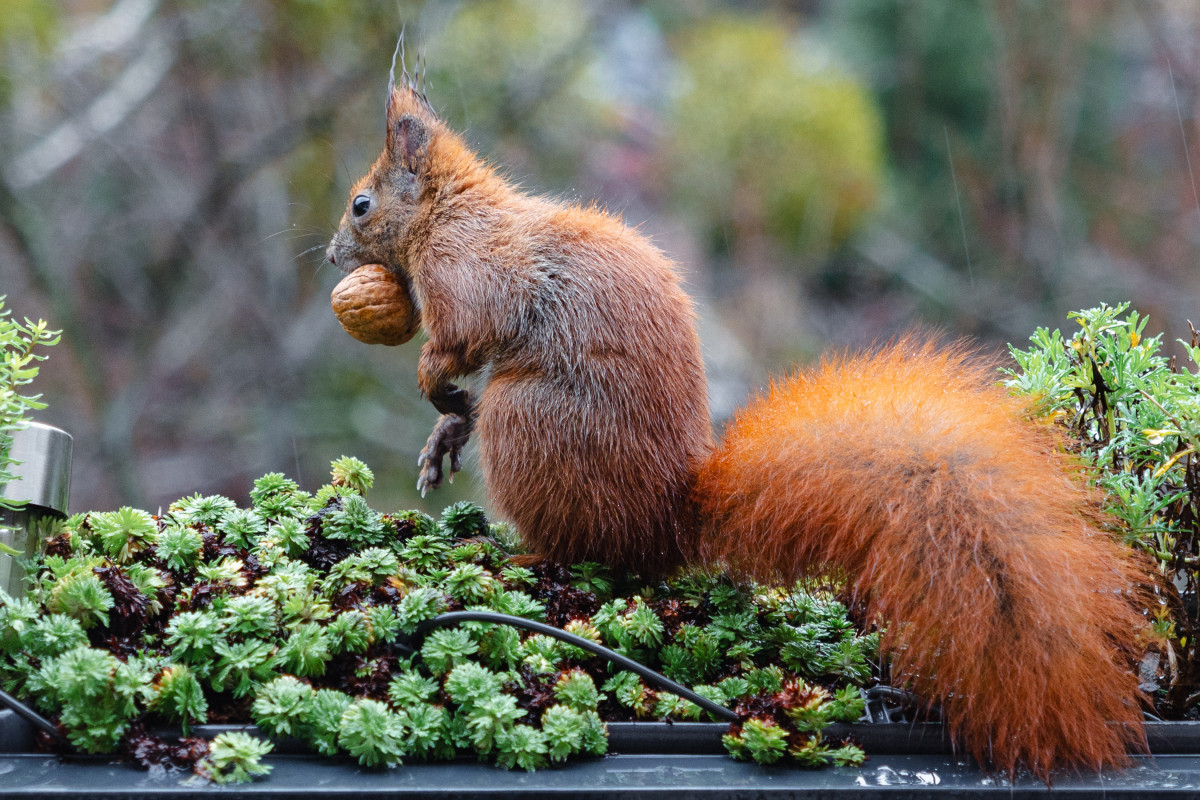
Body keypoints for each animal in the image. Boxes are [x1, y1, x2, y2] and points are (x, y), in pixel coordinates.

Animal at [326, 65, 1152, 777]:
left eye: (362, 204)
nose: (332, 254)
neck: (452, 212)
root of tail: (667, 520)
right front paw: (442, 436)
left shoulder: (474, 276)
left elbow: (463, 339)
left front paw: (436, 390)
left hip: (528, 424)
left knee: (582, 552)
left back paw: (520, 553)